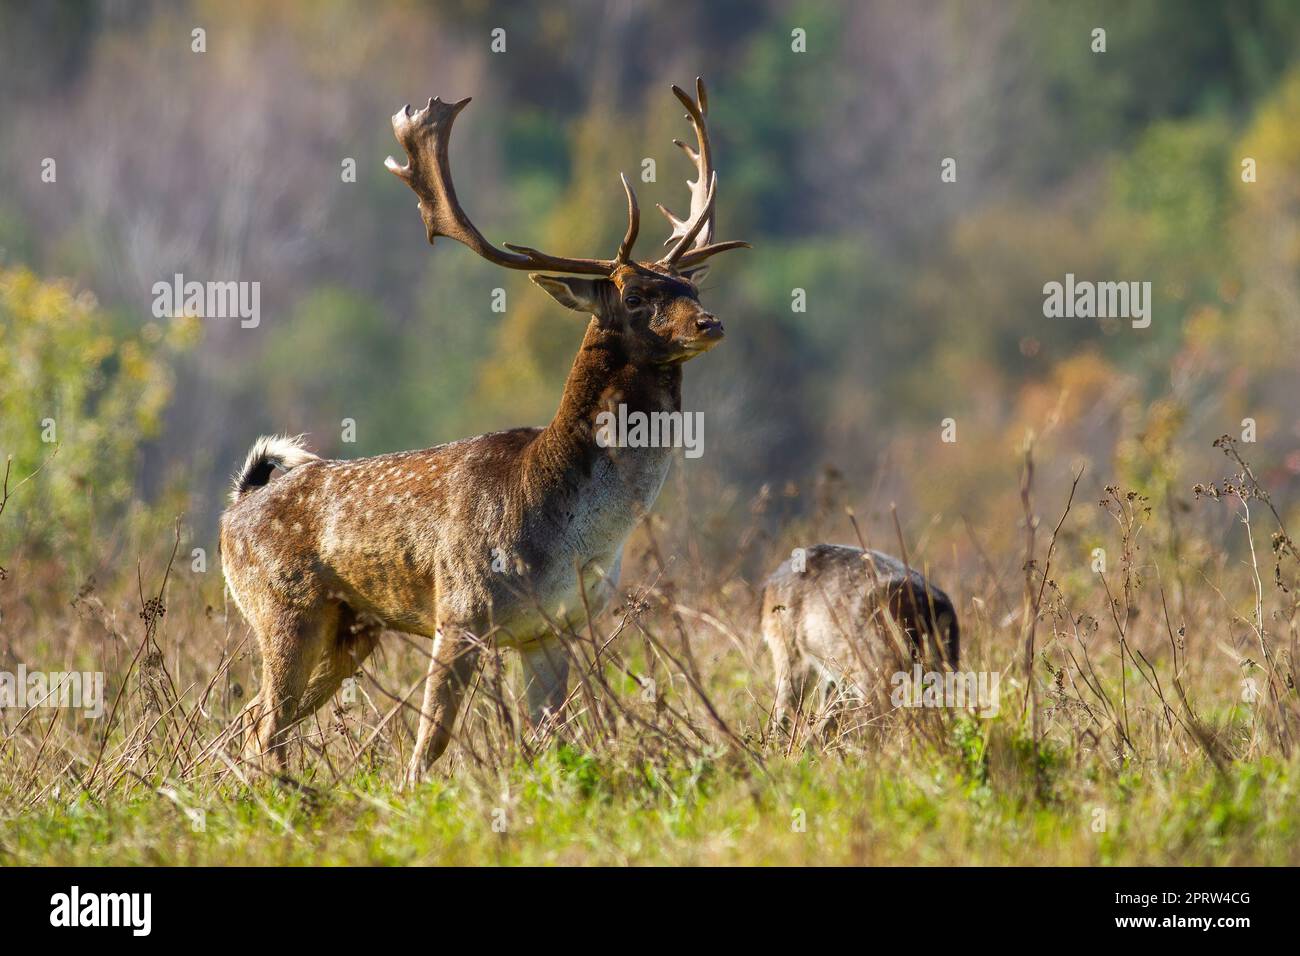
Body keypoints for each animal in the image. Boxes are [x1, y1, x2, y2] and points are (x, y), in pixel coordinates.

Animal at [222, 78, 748, 785]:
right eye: (636, 296)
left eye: (689, 284)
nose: (709, 323)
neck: (574, 532)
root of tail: (237, 505)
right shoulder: (462, 608)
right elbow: (430, 743)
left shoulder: (556, 627)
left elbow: (552, 738)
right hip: (282, 608)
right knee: (264, 728)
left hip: (349, 632)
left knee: (245, 721)